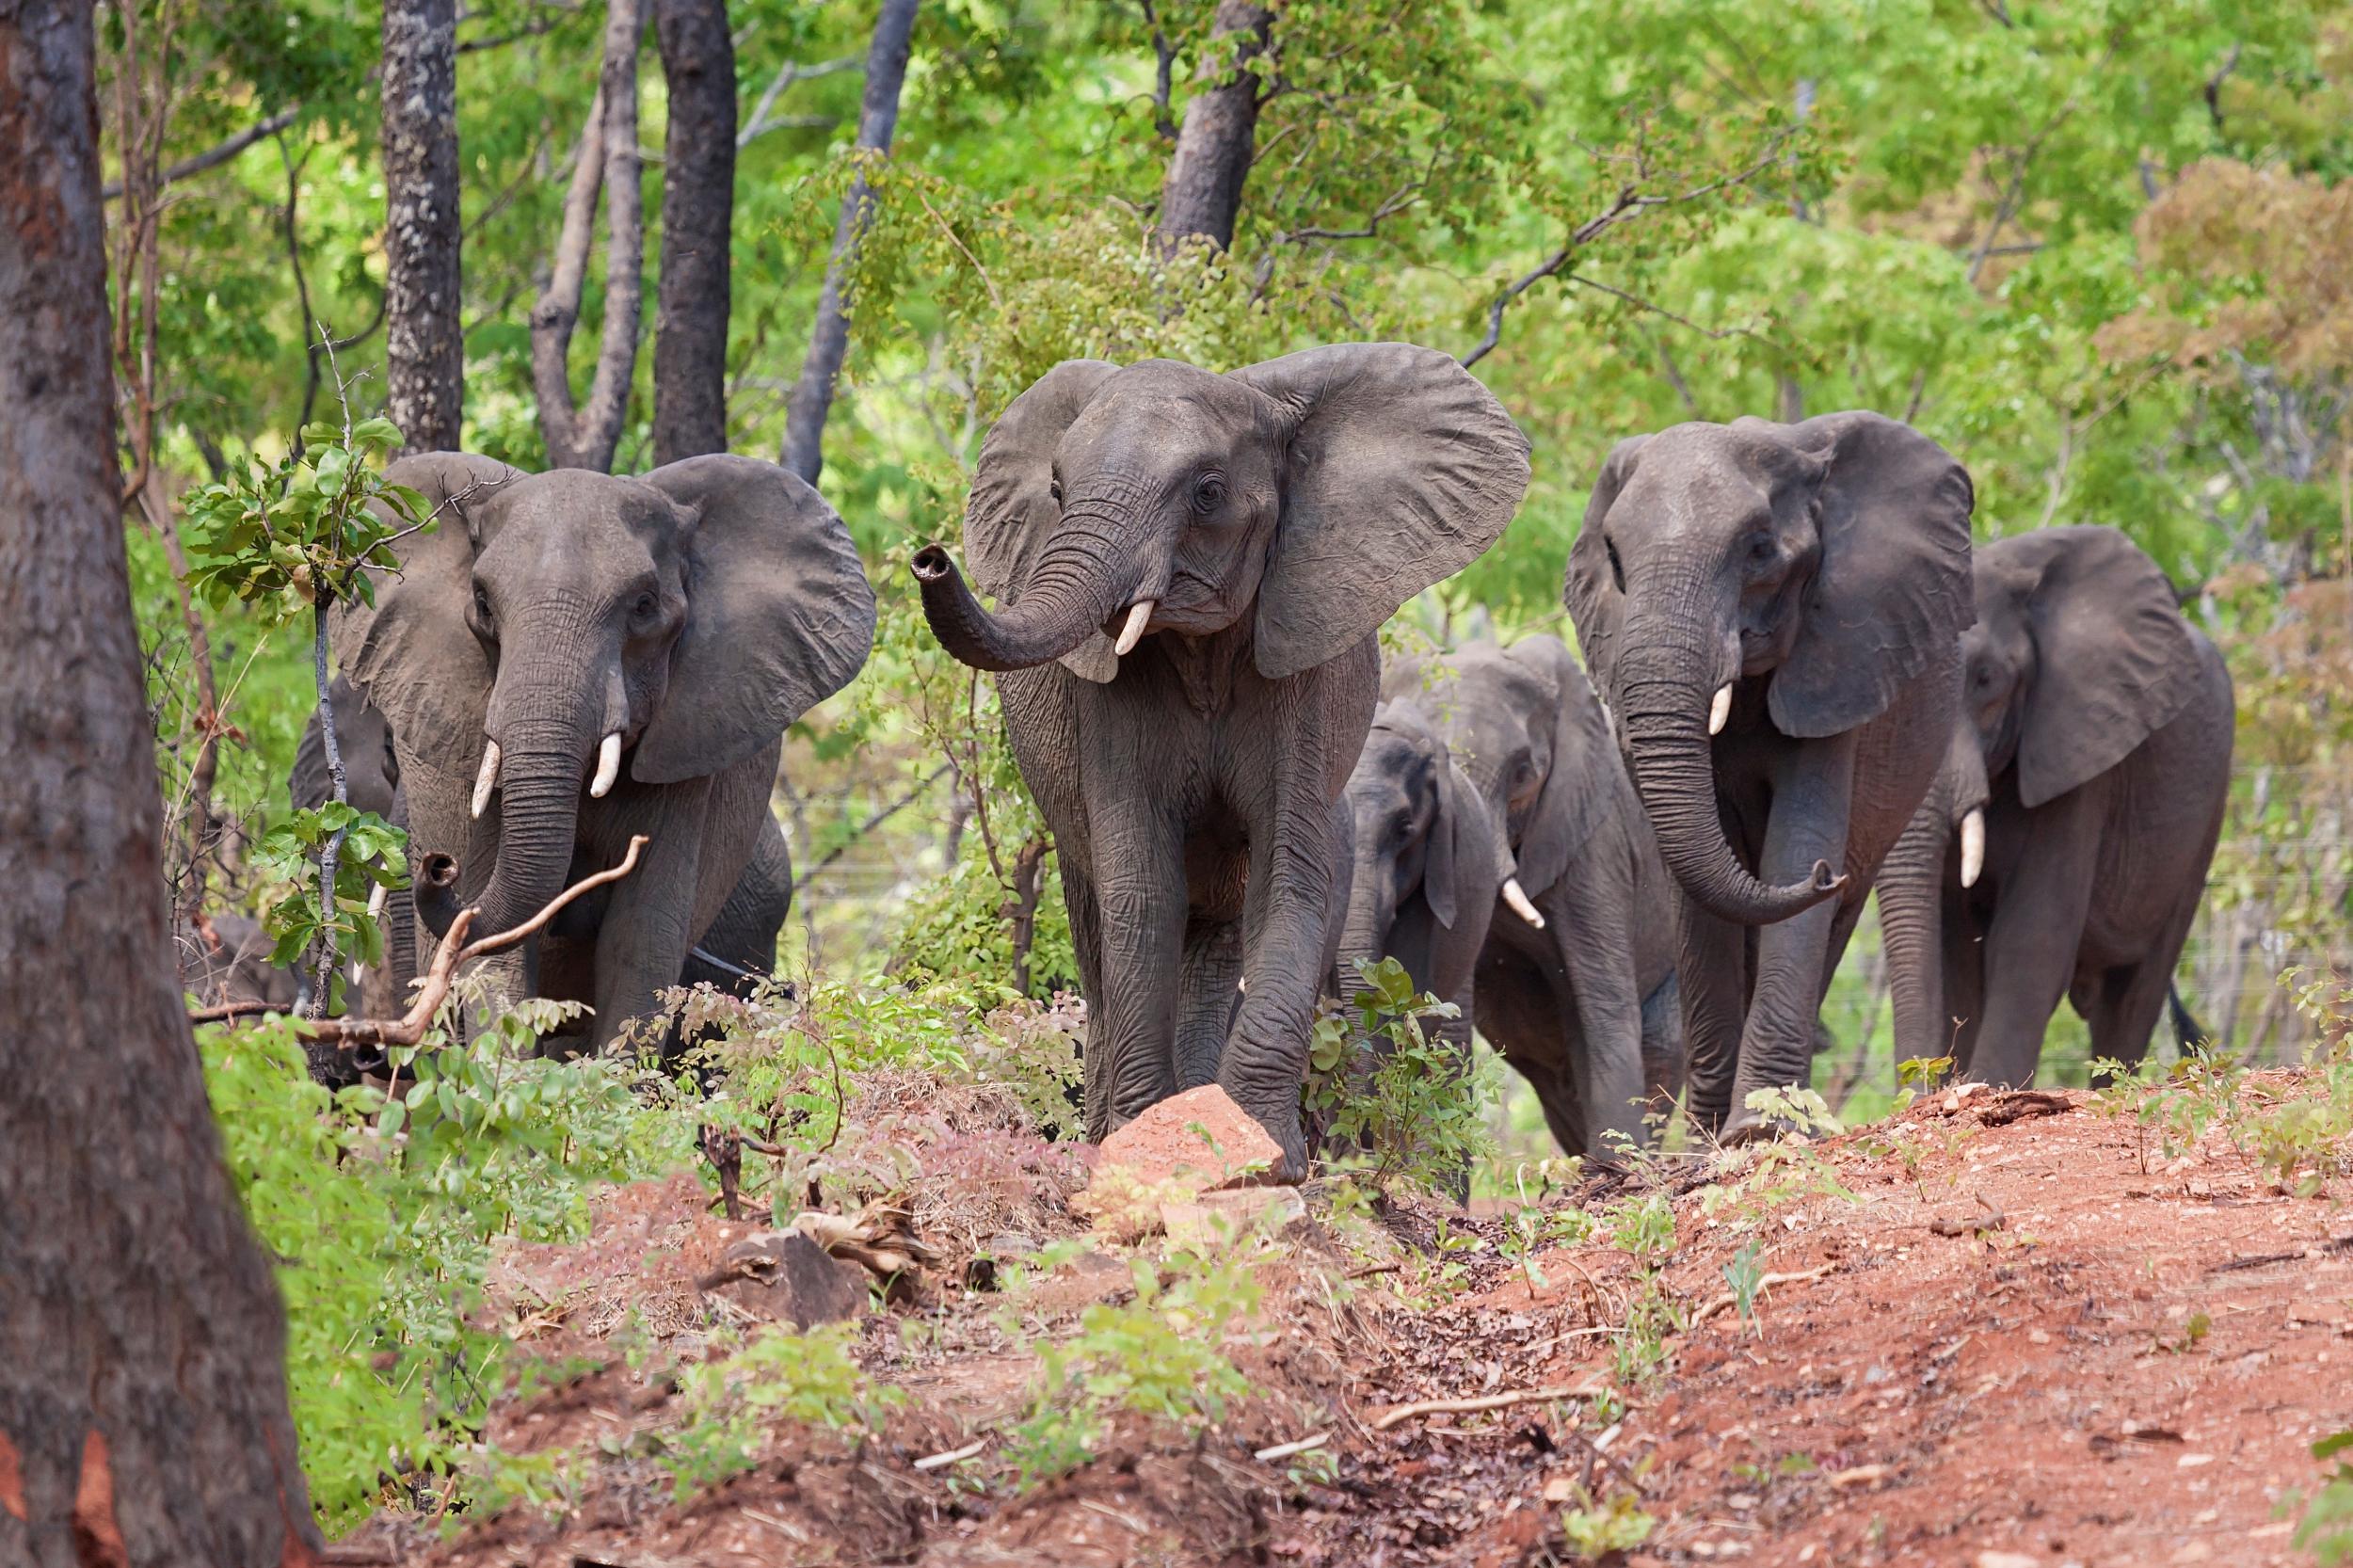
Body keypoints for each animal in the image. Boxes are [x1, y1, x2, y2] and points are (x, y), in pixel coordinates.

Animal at [334, 444, 875, 1045]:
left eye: (643, 605)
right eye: (482, 602)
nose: (437, 865)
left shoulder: (688, 755)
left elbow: (640, 940)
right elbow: (497, 952)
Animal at [908, 341, 1534, 1172]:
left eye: (1208, 493)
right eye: (1057, 490)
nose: (928, 559)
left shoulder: (1307, 674)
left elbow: (1287, 873)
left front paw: (1261, 1155)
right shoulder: (1109, 702)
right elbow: (1140, 884)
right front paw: (1141, 1146)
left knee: (1218, 939)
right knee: (1098, 920)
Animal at [1562, 402, 1986, 1134]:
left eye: (1760, 549)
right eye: (1614, 556)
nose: (1823, 875)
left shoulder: (1839, 656)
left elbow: (1798, 836)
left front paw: (1761, 1130)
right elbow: (1697, 888)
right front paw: (1710, 1143)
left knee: (1835, 912)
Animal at [1864, 522, 2231, 1073]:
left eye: (1986, 678)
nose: (1918, 1078)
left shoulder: (2080, 756)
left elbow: (2030, 942)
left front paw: (1988, 1086)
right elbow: (1957, 955)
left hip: (2206, 816)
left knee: (2134, 993)